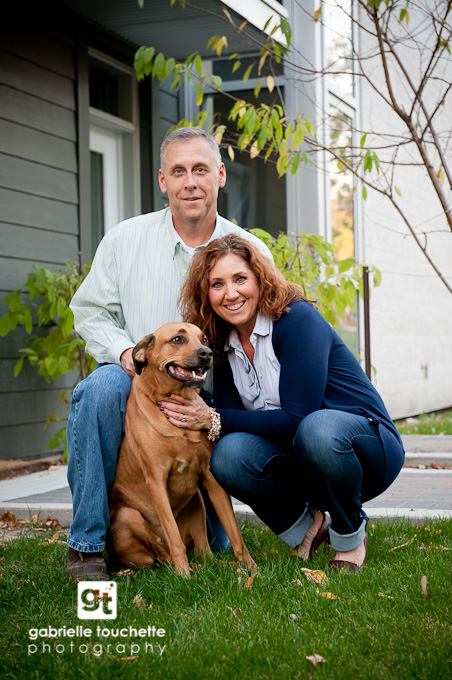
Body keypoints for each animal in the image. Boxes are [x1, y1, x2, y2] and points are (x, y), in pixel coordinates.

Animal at [108, 322, 256, 577]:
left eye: (204, 339)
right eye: (177, 339)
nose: (207, 354)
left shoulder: (211, 479)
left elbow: (236, 534)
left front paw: (252, 569)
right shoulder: (156, 480)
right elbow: (174, 538)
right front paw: (184, 577)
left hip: (197, 502)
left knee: (206, 554)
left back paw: (223, 567)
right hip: (128, 516)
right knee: (164, 555)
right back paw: (186, 570)